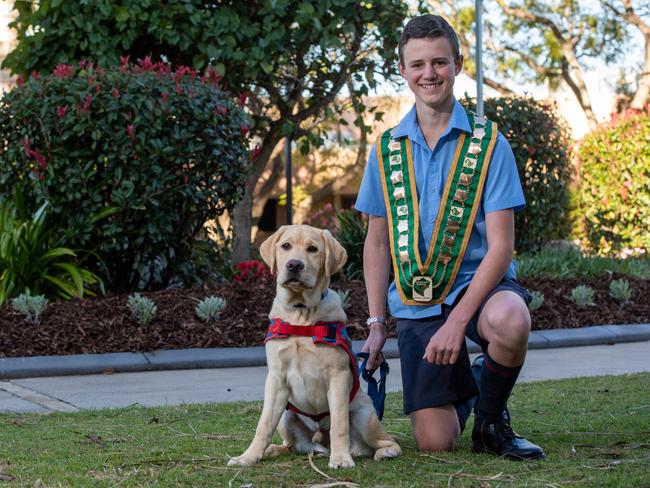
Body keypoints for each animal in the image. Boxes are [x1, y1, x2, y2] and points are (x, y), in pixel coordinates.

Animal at [228, 224, 400, 468]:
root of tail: (320, 438)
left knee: (385, 440)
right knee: (292, 445)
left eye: (312, 249)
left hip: (364, 414)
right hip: (286, 415)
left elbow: (339, 423)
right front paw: (248, 457)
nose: (294, 265)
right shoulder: (276, 378)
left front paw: (341, 459)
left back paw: (384, 452)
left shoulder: (338, 376)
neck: (301, 314)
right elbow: (264, 425)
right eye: (286, 246)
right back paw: (276, 449)